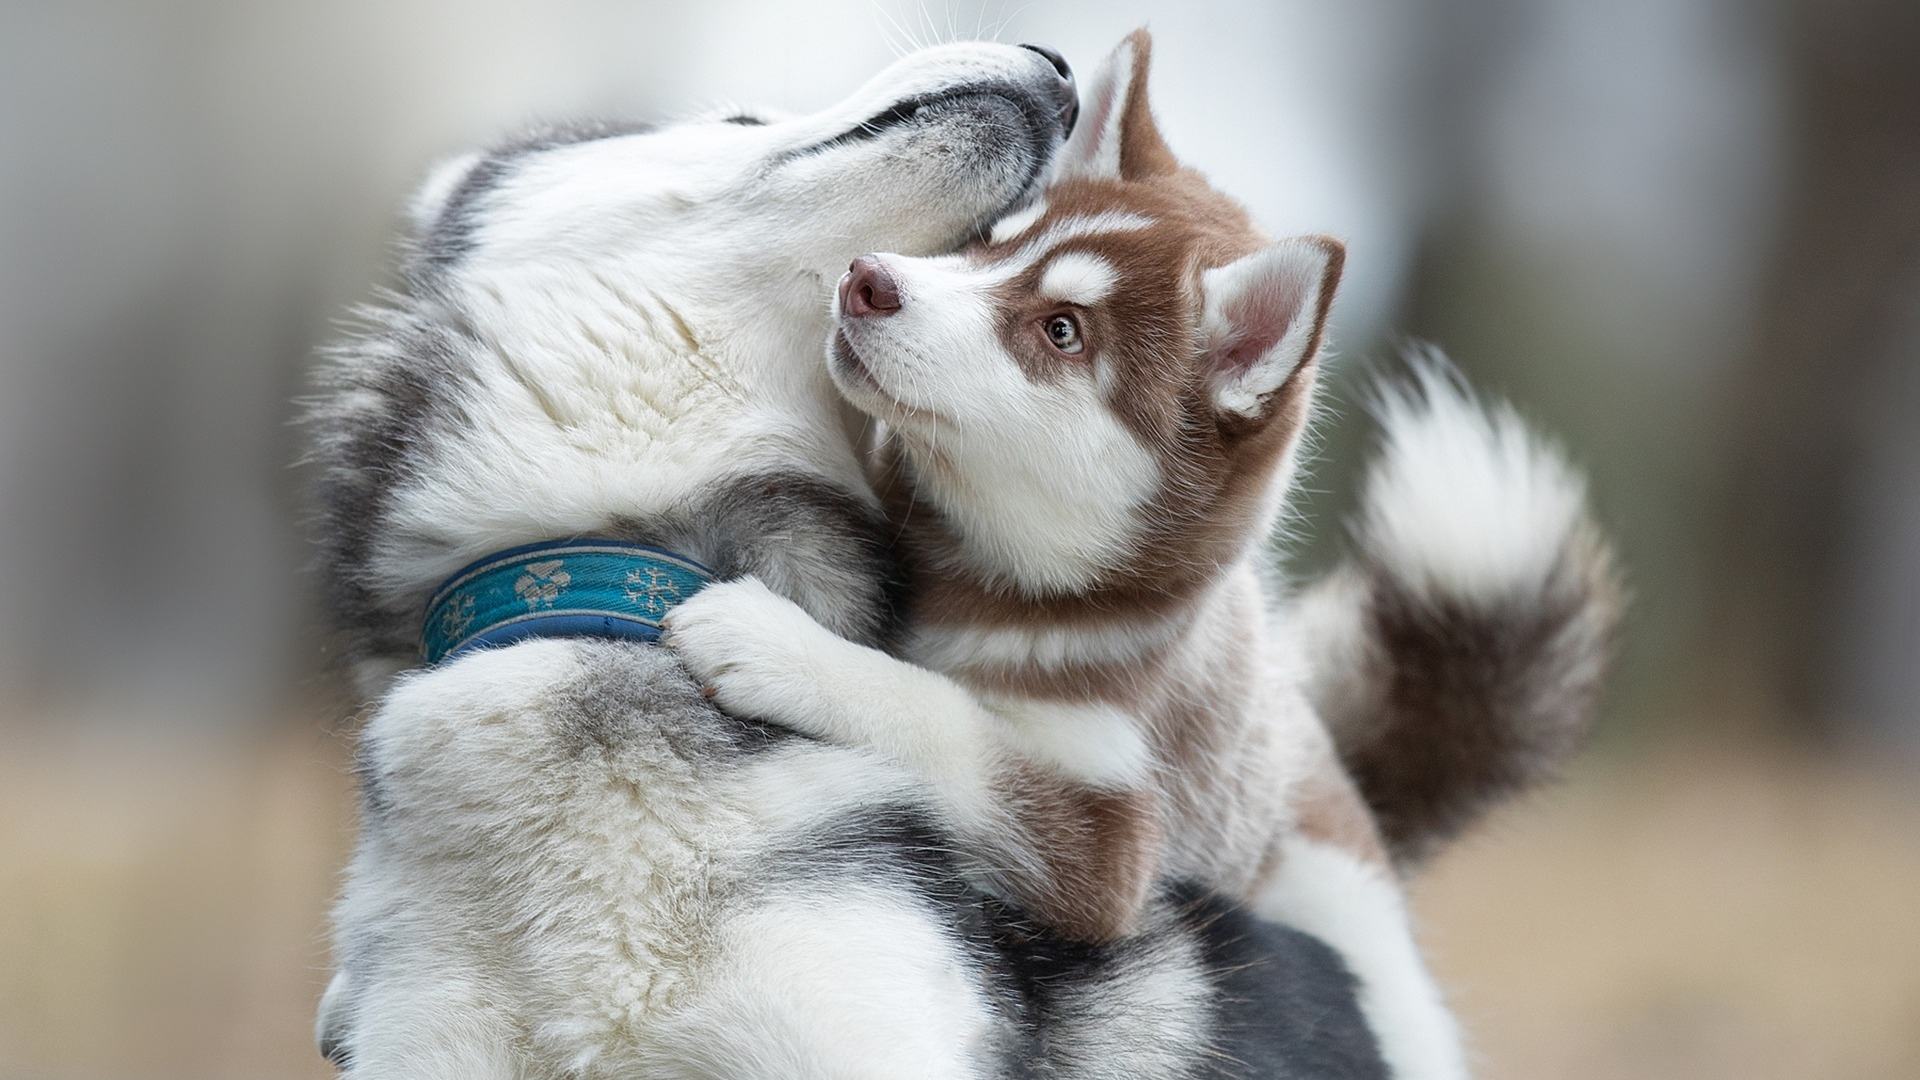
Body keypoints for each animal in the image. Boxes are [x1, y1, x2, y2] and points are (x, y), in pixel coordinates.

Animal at [311, 37, 1397, 1068]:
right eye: (739, 117)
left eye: (1058, 329)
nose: (1054, 71)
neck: (608, 578)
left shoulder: (1082, 861)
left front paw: (777, 645)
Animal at [668, 31, 1612, 1076]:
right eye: (995, 246)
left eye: (1061, 332)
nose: (869, 279)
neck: (996, 581)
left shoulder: (1109, 850)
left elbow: (945, 719)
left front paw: (777, 645)